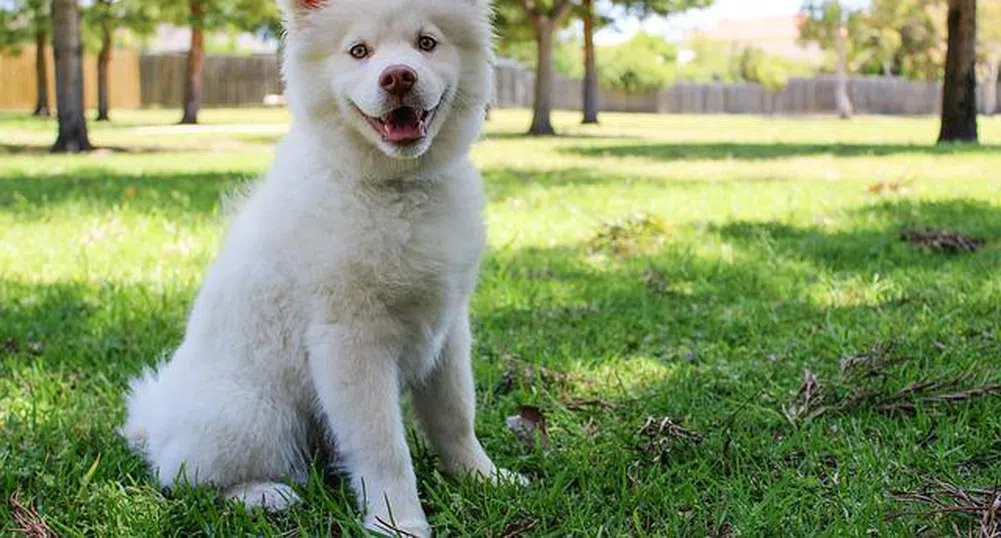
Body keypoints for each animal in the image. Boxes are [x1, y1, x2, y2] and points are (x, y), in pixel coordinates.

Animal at [121, 0, 520, 532]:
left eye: (427, 43)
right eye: (359, 51)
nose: (398, 76)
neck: (396, 190)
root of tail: (155, 420)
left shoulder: (448, 327)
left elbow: (456, 416)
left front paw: (483, 478)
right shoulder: (350, 341)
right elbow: (384, 447)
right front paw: (399, 522)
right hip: (255, 416)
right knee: (185, 476)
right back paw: (265, 495)